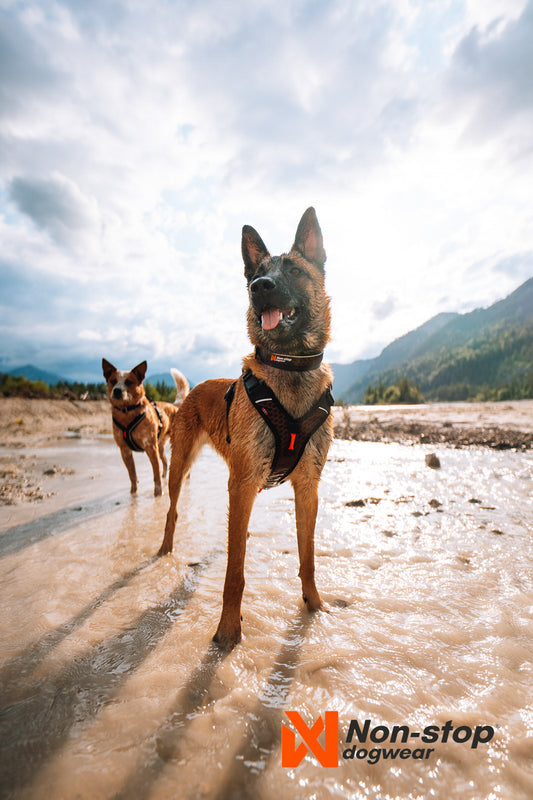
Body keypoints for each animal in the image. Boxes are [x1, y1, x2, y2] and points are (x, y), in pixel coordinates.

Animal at [102, 360, 189, 496]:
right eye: (113, 381)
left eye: (129, 381)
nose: (117, 390)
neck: (127, 412)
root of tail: (175, 406)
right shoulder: (124, 450)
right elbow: (132, 475)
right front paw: (133, 493)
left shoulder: (150, 448)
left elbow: (156, 474)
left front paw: (158, 494)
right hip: (160, 446)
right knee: (165, 462)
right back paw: (165, 476)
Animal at [158, 208, 332, 648]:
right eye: (257, 273)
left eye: (293, 270)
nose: (259, 287)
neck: (288, 365)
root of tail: (192, 391)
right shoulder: (241, 482)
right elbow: (233, 574)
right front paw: (227, 629)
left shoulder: (307, 488)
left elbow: (308, 557)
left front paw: (314, 604)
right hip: (181, 468)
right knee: (172, 511)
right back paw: (165, 548)